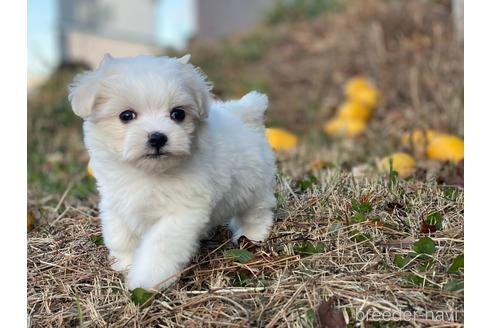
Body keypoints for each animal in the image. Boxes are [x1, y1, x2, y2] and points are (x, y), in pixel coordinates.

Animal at [68, 55, 276, 290]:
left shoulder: (181, 214)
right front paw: (125, 262)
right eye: (126, 115)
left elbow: (160, 247)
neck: (147, 173)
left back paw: (253, 233)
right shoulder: (117, 203)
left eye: (178, 114)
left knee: (258, 210)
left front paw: (146, 280)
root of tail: (244, 114)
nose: (157, 137)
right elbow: (121, 235)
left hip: (253, 186)